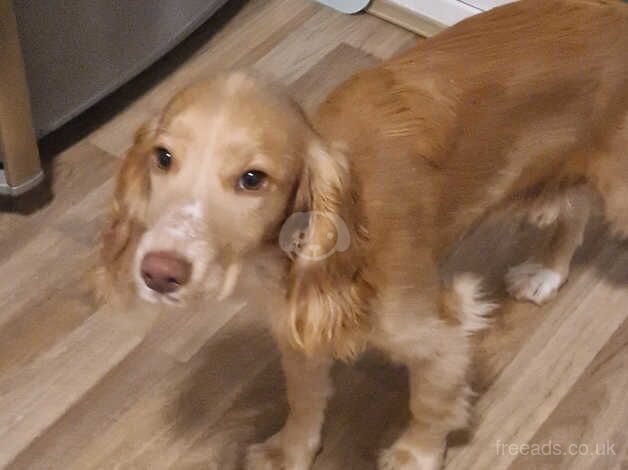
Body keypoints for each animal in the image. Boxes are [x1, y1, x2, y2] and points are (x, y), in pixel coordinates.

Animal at [98, 1, 628, 468]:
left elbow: (431, 404)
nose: (159, 273)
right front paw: (291, 452)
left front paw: (415, 456)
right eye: (163, 157)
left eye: (252, 179)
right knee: (575, 209)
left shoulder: (441, 329)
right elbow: (304, 399)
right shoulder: (299, 328)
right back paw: (546, 272)